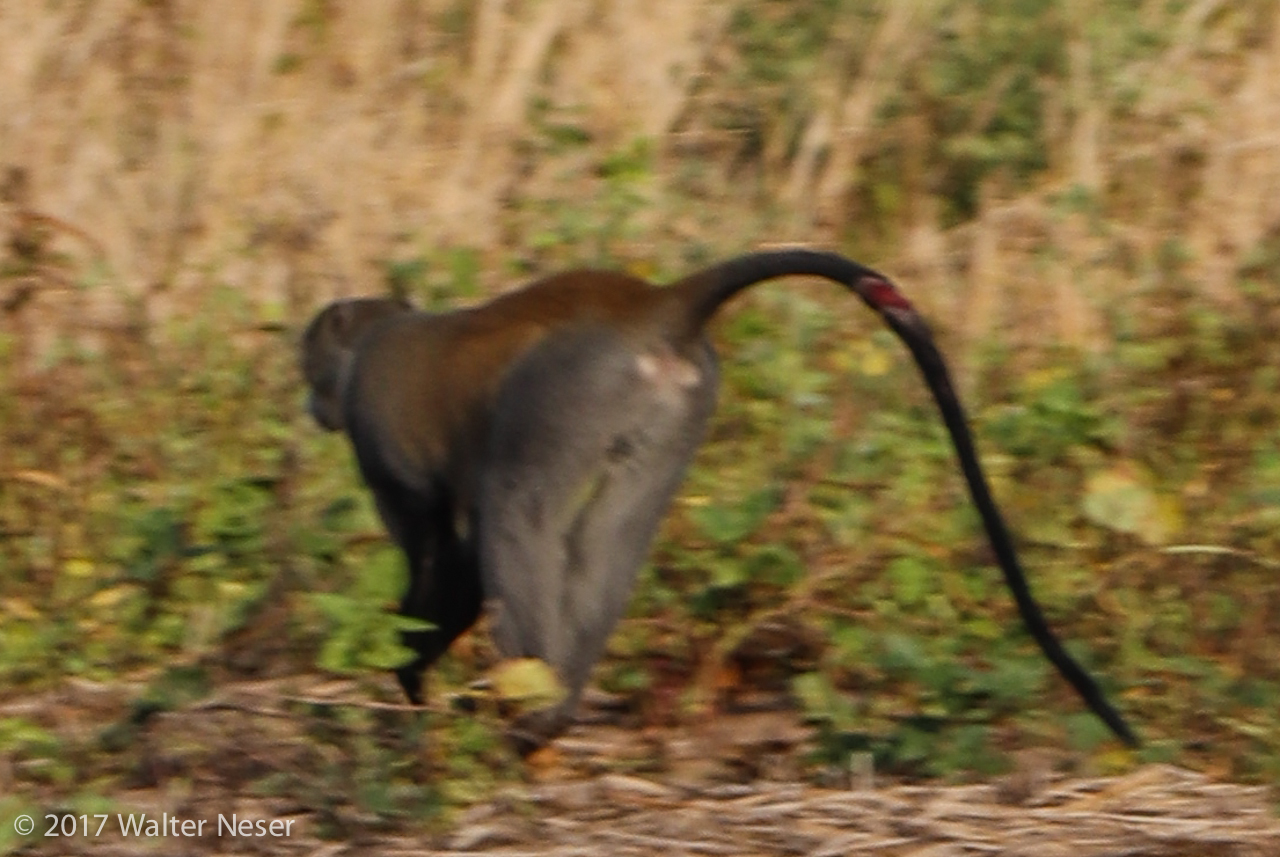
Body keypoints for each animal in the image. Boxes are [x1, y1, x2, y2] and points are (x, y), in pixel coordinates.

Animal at [302, 248, 1141, 752]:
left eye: (314, 368)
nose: (314, 407)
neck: (382, 336)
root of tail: (654, 307)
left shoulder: (376, 428)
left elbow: (446, 550)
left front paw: (410, 681)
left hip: (569, 388)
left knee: (522, 514)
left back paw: (529, 716)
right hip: (667, 407)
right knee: (607, 538)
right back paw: (556, 708)